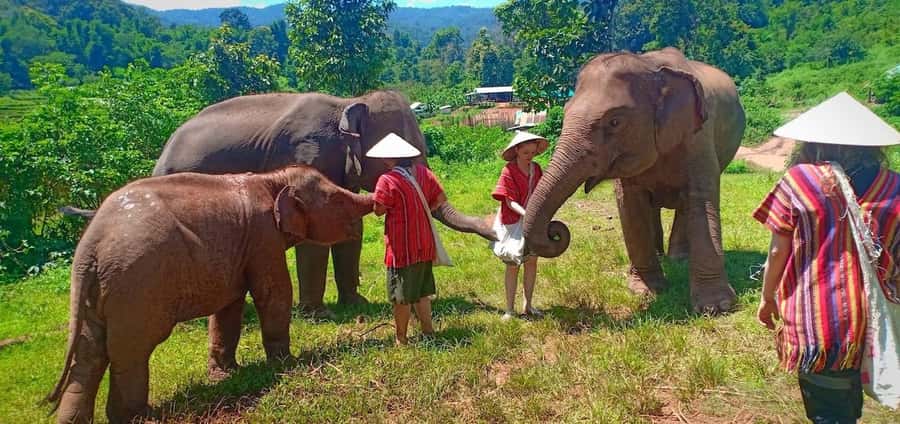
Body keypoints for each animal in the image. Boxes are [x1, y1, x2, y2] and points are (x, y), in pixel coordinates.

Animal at [46, 165, 374, 424]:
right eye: (338, 198)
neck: (272, 178)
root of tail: (90, 245)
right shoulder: (262, 235)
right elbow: (274, 292)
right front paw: (286, 363)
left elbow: (230, 304)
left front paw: (226, 374)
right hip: (135, 286)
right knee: (132, 349)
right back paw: (140, 416)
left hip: (98, 291)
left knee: (89, 352)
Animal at [152, 90, 495, 318]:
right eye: (400, 159)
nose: (494, 230)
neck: (347, 103)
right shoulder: (306, 153)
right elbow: (313, 238)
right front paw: (316, 315)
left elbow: (351, 226)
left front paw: (356, 304)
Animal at [523, 48, 745, 314]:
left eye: (615, 121)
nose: (554, 231)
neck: (650, 65)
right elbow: (630, 205)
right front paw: (645, 291)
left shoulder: (699, 136)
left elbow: (701, 200)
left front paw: (716, 307)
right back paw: (662, 257)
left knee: (686, 204)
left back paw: (678, 259)